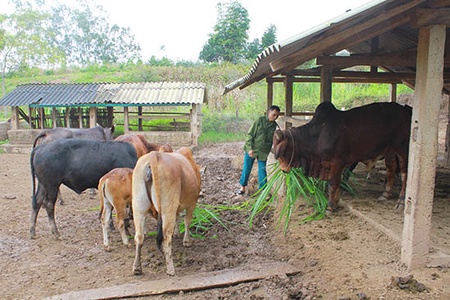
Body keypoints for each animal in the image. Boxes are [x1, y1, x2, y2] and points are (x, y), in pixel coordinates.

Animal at [130, 146, 200, 276]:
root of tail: (153, 156)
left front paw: (177, 233)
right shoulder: (192, 203)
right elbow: (187, 221)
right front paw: (186, 241)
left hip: (138, 205)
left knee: (139, 236)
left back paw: (137, 268)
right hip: (168, 207)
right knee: (166, 237)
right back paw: (170, 269)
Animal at [270, 102, 412, 212]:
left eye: (281, 152)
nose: (283, 170)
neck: (318, 135)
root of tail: (406, 110)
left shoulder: (337, 163)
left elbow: (333, 184)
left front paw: (330, 207)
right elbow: (335, 184)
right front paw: (336, 202)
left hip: (403, 149)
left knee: (405, 174)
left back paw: (401, 201)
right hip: (390, 150)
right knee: (391, 170)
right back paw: (385, 194)